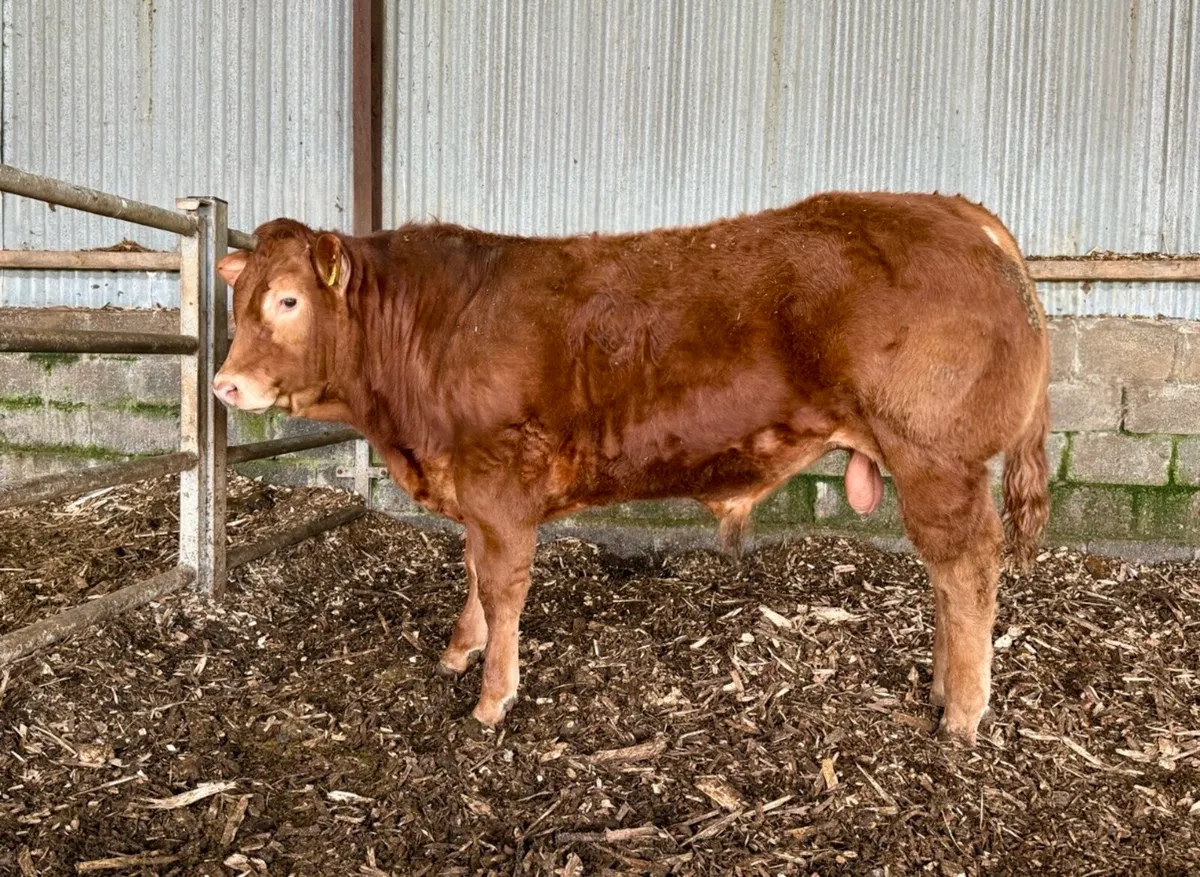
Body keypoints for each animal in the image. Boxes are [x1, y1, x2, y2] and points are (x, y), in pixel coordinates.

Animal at [212, 192, 1050, 746]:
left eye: (287, 300)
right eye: (238, 300)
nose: (224, 385)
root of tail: (950, 207)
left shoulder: (500, 480)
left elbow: (503, 584)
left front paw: (492, 696)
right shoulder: (474, 490)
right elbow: (473, 569)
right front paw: (460, 648)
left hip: (936, 454)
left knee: (967, 568)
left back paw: (962, 713)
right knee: (945, 577)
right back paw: (942, 689)